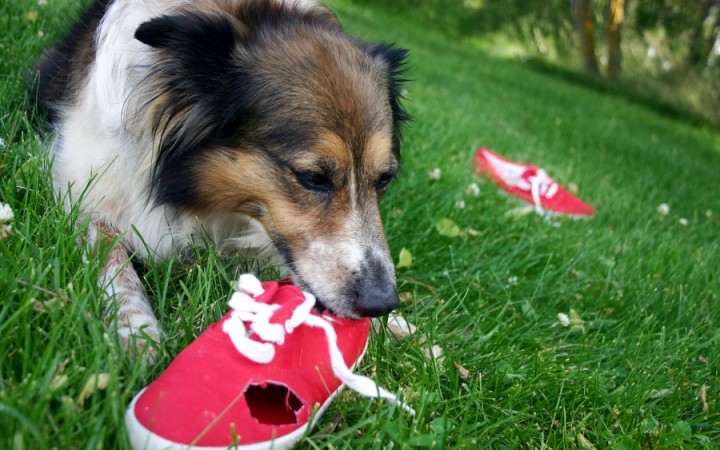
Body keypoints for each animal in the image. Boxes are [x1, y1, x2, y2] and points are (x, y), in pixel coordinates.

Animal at [33, 0, 408, 354]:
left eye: (384, 178)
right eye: (313, 177)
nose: (382, 303)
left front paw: (394, 328)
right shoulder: (83, 191)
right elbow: (112, 260)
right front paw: (138, 333)